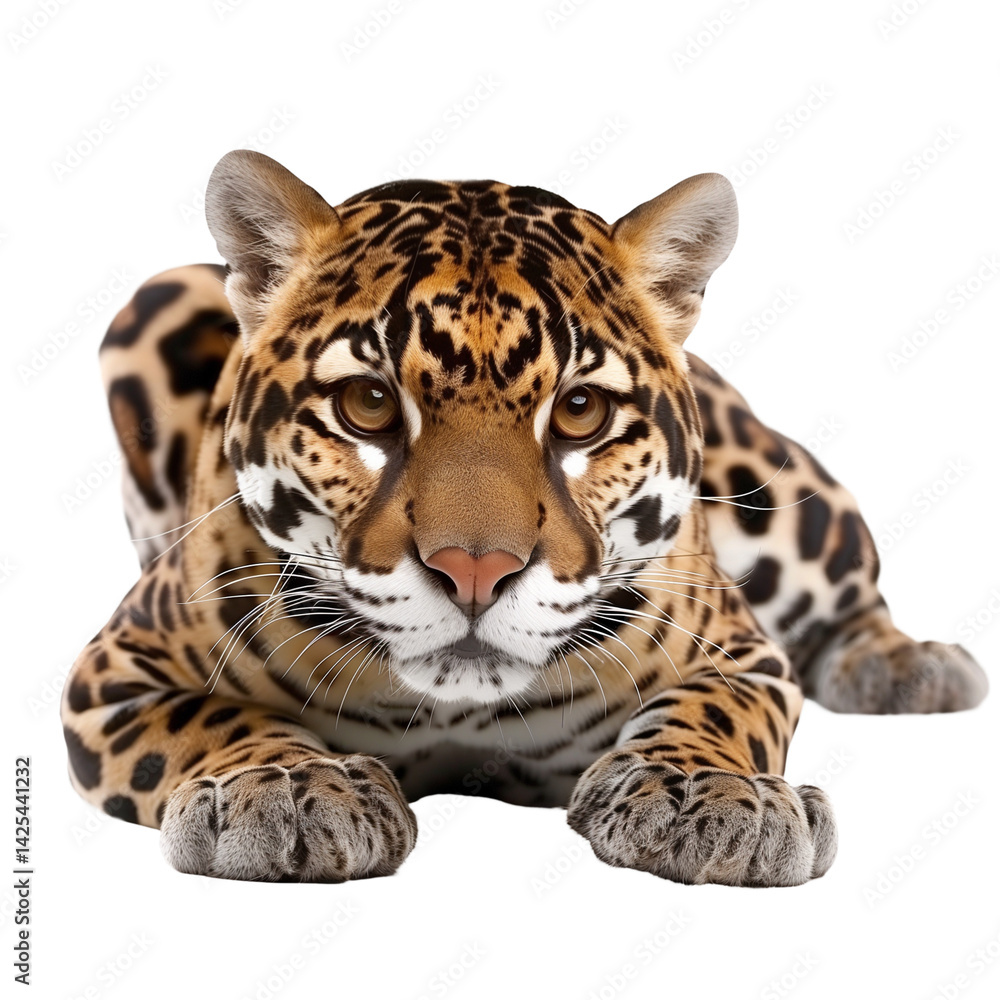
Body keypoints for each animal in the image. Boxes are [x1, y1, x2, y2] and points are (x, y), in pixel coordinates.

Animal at [60, 150, 987, 886]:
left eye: (579, 411)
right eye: (368, 404)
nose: (476, 571)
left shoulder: (742, 654)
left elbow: (713, 712)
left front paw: (716, 797)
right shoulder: (114, 670)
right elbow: (214, 718)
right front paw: (285, 790)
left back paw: (911, 669)